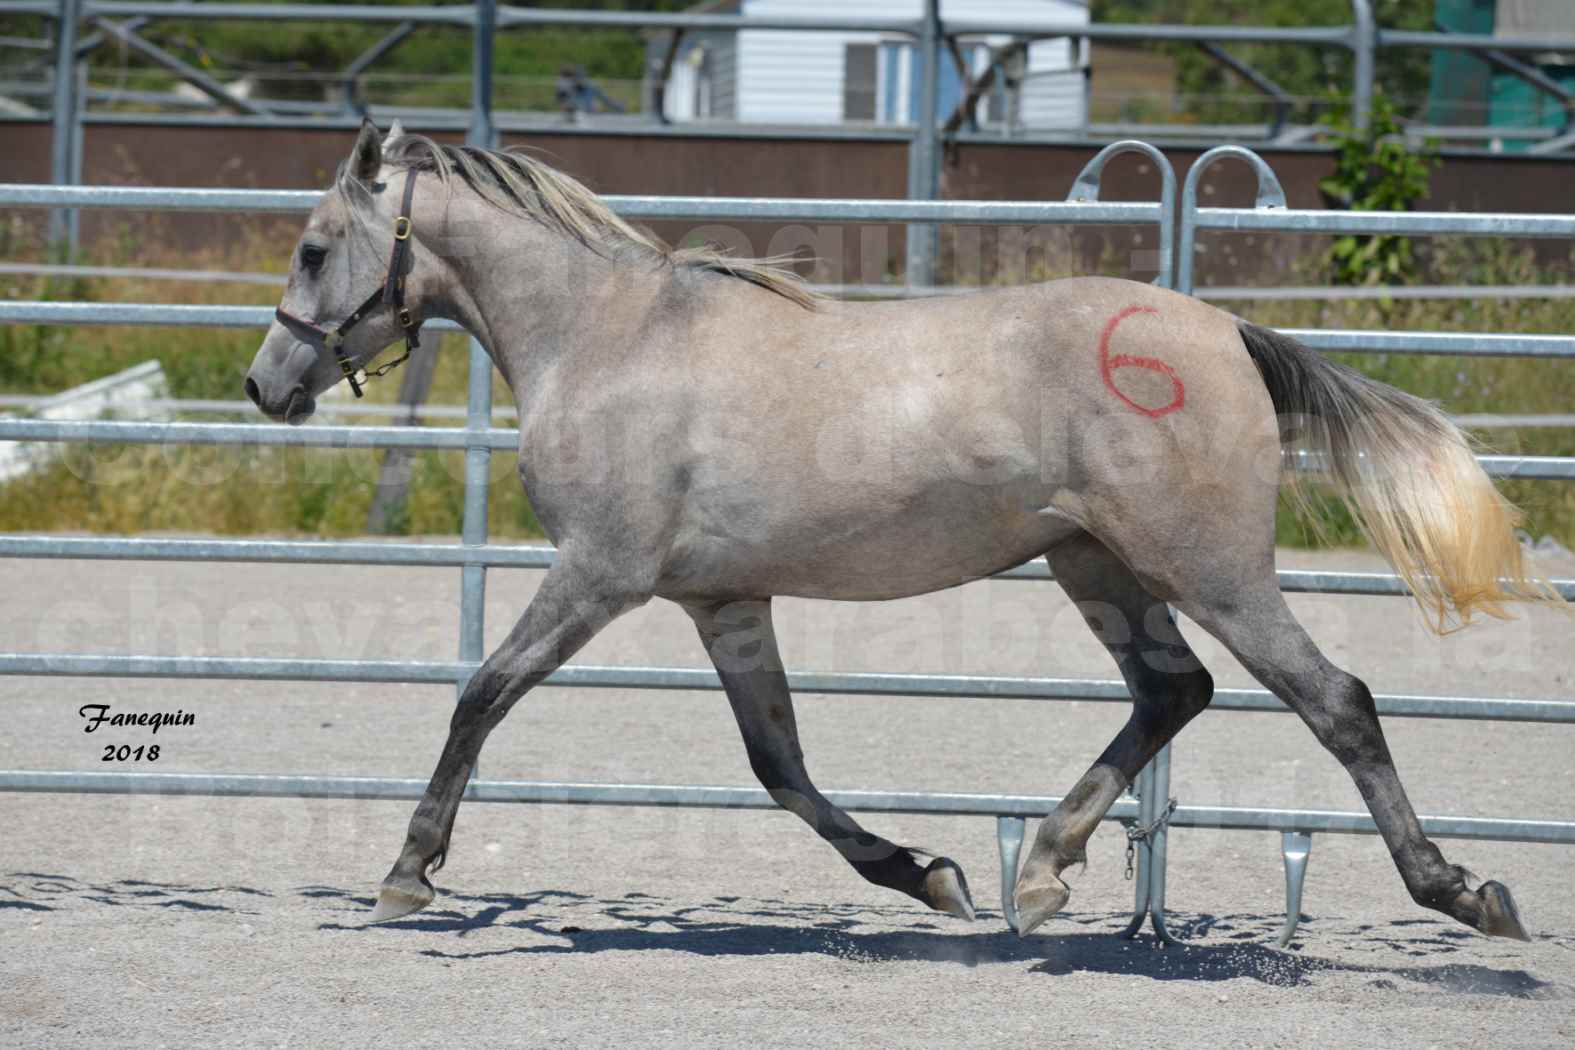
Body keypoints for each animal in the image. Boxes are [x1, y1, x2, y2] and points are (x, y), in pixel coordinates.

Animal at [248, 123, 1562, 944]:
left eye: (313, 249)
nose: (268, 386)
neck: (609, 339)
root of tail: (1227, 330)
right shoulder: (722, 601)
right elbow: (778, 765)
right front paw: (928, 876)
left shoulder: (599, 575)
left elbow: (481, 694)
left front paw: (406, 876)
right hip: (1097, 564)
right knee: (1171, 692)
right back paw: (1041, 873)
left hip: (1210, 569)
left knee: (1335, 700)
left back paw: (1465, 893)